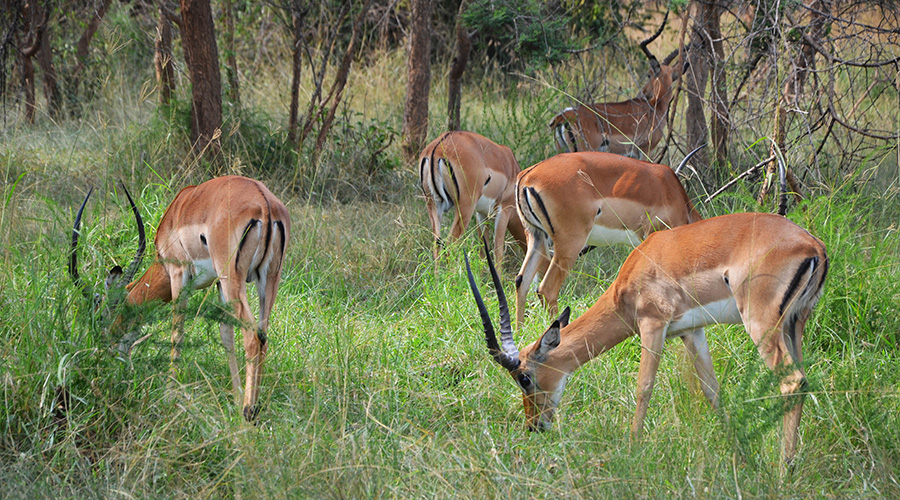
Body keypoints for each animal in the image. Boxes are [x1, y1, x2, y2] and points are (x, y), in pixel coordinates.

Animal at [70, 176, 291, 421]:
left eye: (100, 319)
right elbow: (226, 336)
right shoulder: (217, 284)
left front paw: (168, 396)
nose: (106, 358)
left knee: (252, 335)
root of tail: (264, 205)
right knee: (263, 336)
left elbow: (178, 334)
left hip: (234, 278)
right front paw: (235, 397)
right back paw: (255, 405)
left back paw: (248, 412)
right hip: (269, 279)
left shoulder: (178, 274)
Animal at [419, 130, 527, 263]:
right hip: (465, 208)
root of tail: (437, 148)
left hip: (433, 205)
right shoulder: (504, 211)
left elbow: (483, 251)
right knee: (450, 245)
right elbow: (498, 252)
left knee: (437, 246)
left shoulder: (481, 214)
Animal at [467, 212, 828, 462]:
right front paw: (740, 456)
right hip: (793, 325)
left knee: (792, 382)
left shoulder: (653, 325)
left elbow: (644, 388)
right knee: (801, 378)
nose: (534, 426)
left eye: (524, 377)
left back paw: (783, 469)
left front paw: (633, 450)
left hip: (762, 324)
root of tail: (814, 246)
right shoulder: (691, 333)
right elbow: (712, 391)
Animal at [515, 147, 704, 329]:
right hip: (569, 245)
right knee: (546, 289)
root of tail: (527, 177)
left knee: (521, 282)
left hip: (536, 238)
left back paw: (520, 331)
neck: (671, 191)